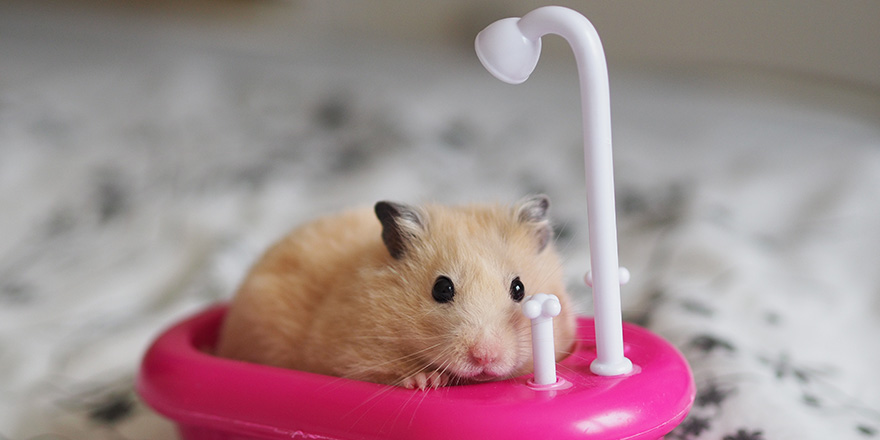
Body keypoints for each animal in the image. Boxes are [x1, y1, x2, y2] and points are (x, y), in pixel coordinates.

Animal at [215, 194, 576, 390]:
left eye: (519, 288)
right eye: (441, 288)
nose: (485, 358)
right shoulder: (349, 353)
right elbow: (381, 369)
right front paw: (426, 381)